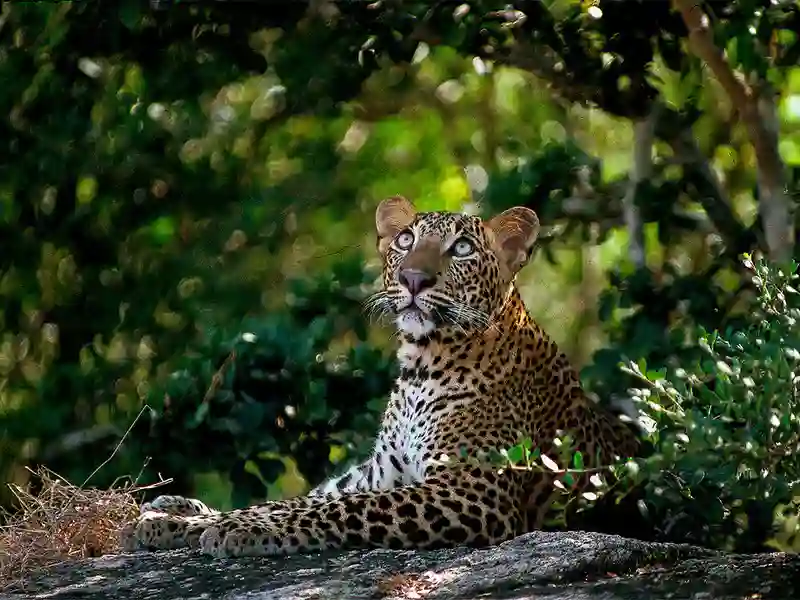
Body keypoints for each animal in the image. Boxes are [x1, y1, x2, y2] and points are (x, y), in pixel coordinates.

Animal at [120, 196, 644, 556]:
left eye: (462, 248)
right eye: (406, 240)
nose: (414, 279)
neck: (420, 369)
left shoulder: (473, 491)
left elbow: (335, 509)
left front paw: (242, 528)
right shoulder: (379, 474)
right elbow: (304, 499)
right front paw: (180, 518)